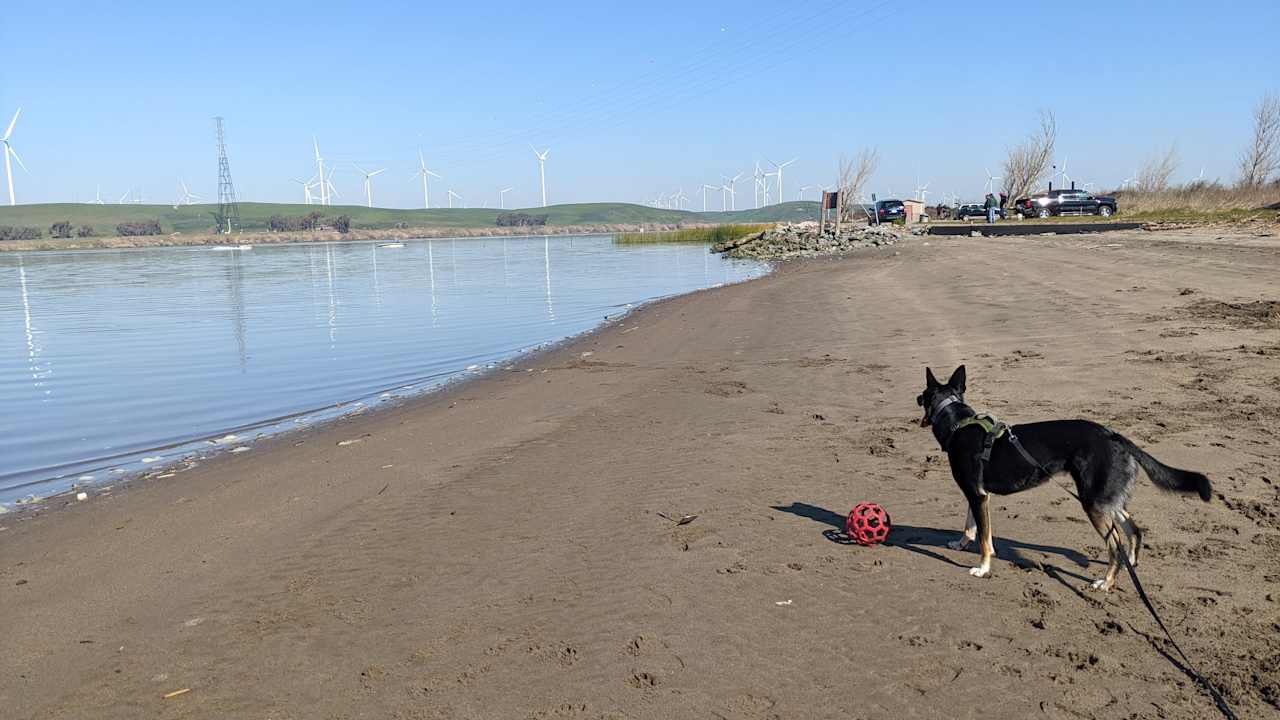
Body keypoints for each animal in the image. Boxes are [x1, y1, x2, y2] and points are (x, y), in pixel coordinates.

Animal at [916, 363, 1203, 589]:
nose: (917, 398)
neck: (956, 422)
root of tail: (1115, 436)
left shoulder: (977, 495)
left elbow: (986, 539)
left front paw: (983, 568)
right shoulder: (977, 494)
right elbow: (971, 525)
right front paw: (961, 543)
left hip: (1093, 503)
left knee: (1115, 543)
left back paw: (1107, 581)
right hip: (1106, 499)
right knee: (1133, 529)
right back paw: (1129, 563)